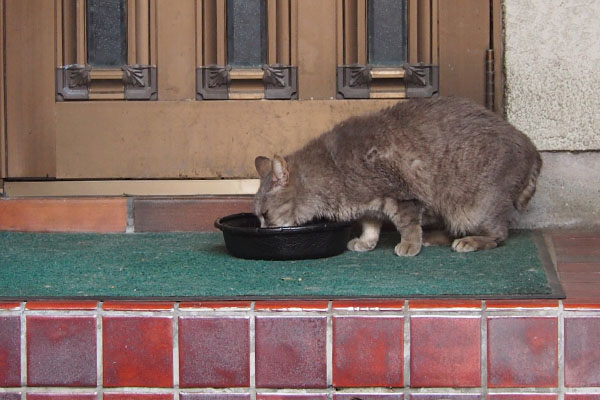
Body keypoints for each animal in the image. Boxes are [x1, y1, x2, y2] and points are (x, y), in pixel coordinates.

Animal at [251, 96, 540, 256]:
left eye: (265, 214)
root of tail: (531, 147)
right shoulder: (368, 205)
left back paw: (468, 241)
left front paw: (409, 245)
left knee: (499, 235)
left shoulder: (402, 196)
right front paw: (366, 243)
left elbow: (407, 225)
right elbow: (370, 226)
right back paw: (433, 238)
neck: (332, 168)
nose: (262, 231)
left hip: (472, 209)